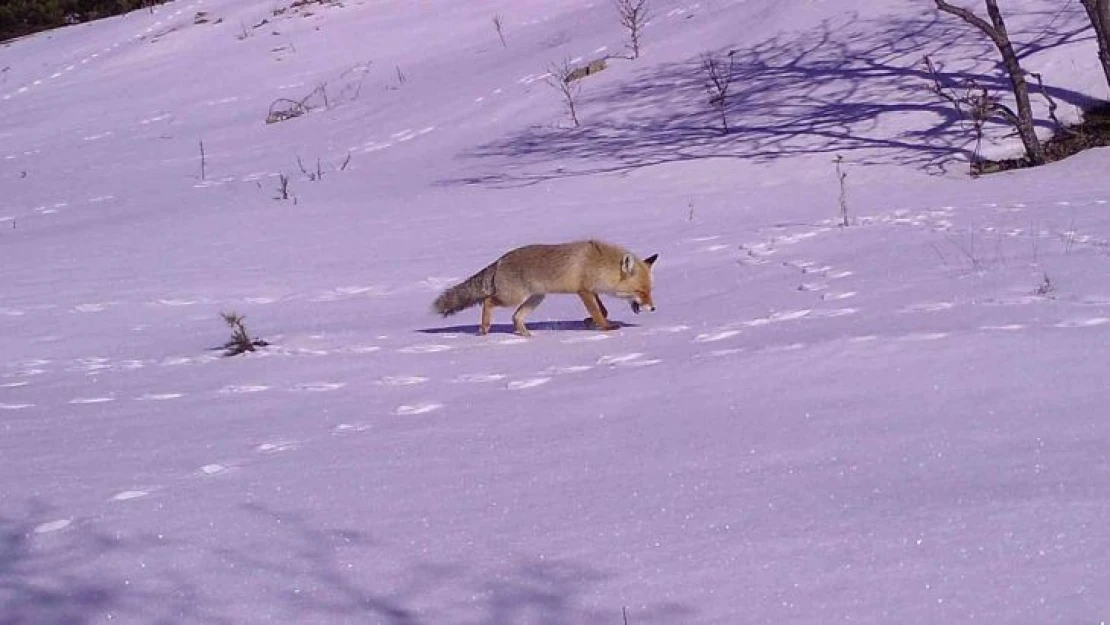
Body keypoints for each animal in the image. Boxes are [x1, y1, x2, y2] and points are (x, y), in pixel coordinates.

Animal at [432, 240, 657, 337]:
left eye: (650, 291)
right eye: (641, 292)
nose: (653, 309)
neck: (599, 262)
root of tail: (500, 260)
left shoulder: (591, 290)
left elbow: (603, 310)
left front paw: (589, 322)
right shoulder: (583, 291)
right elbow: (598, 312)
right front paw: (605, 327)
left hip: (535, 299)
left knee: (516, 317)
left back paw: (526, 335)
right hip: (513, 298)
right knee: (488, 301)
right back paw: (485, 328)